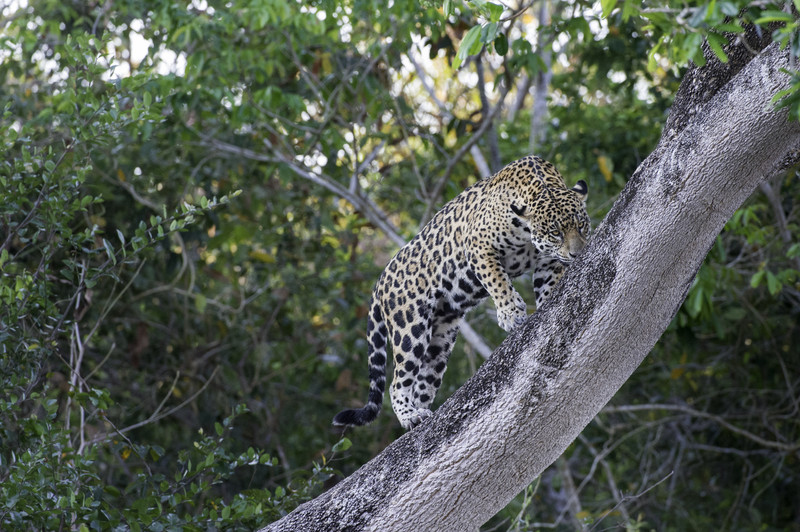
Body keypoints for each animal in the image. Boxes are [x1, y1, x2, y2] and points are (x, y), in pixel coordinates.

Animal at [333, 155, 590, 430]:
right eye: (556, 233)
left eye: (581, 226)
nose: (577, 255)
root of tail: (380, 281)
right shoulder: (478, 247)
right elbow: (497, 280)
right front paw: (511, 314)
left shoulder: (548, 261)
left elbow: (548, 284)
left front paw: (548, 302)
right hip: (410, 328)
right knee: (397, 382)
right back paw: (409, 416)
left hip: (440, 340)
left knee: (422, 382)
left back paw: (420, 414)